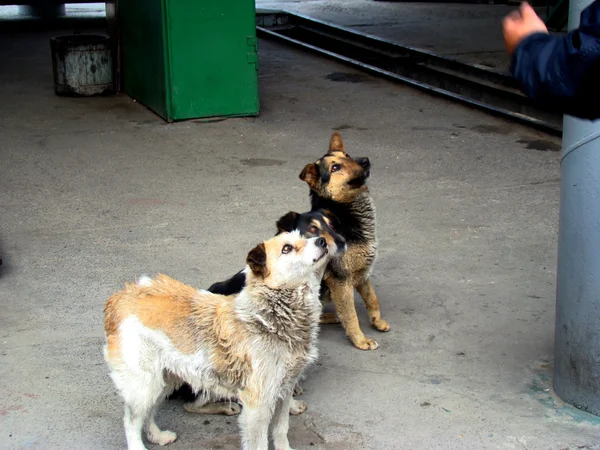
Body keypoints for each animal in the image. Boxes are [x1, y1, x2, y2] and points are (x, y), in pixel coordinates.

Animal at [103, 232, 338, 450]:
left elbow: (281, 429)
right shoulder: (257, 405)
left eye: (305, 237)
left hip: (165, 378)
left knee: (149, 412)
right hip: (144, 382)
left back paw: (158, 436)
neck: (270, 315)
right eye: (287, 248)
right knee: (131, 419)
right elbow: (260, 442)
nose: (322, 241)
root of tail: (122, 296)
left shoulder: (284, 389)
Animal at [300, 132, 390, 350]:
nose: (365, 160)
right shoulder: (341, 280)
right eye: (335, 168)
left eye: (347, 156)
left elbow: (372, 299)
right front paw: (360, 339)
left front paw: (376, 321)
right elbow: (351, 315)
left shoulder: (362, 273)